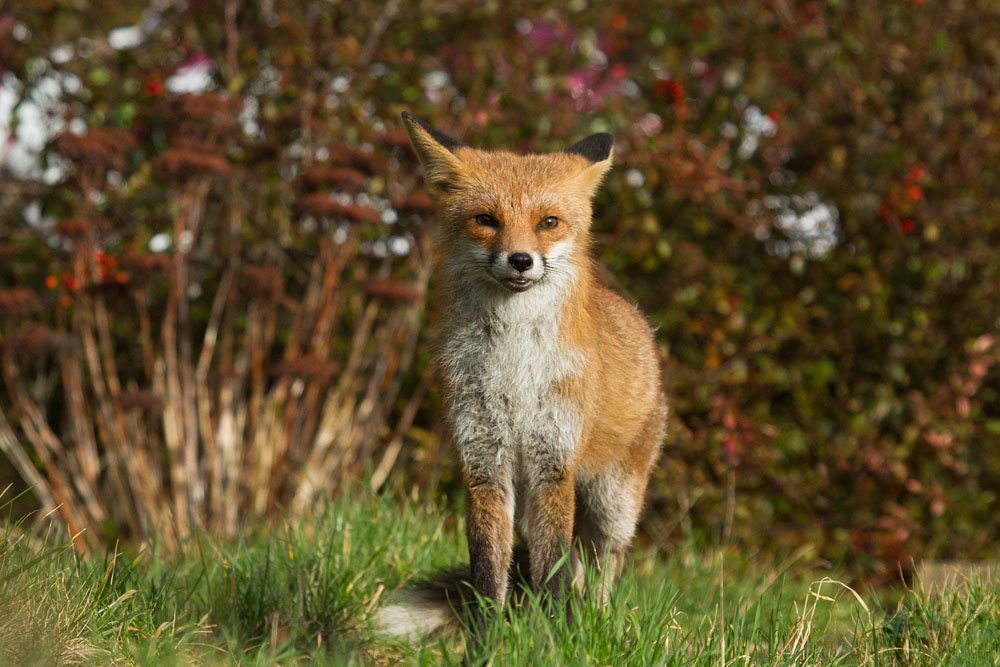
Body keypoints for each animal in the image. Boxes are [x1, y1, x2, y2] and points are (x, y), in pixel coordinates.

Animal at [377, 112, 667, 650]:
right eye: (486, 220)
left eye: (548, 223)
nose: (520, 260)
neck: (514, 369)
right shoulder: (483, 462)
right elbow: (490, 571)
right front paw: (485, 645)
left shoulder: (554, 462)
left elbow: (553, 571)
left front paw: (553, 641)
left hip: (612, 503)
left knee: (600, 565)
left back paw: (594, 625)